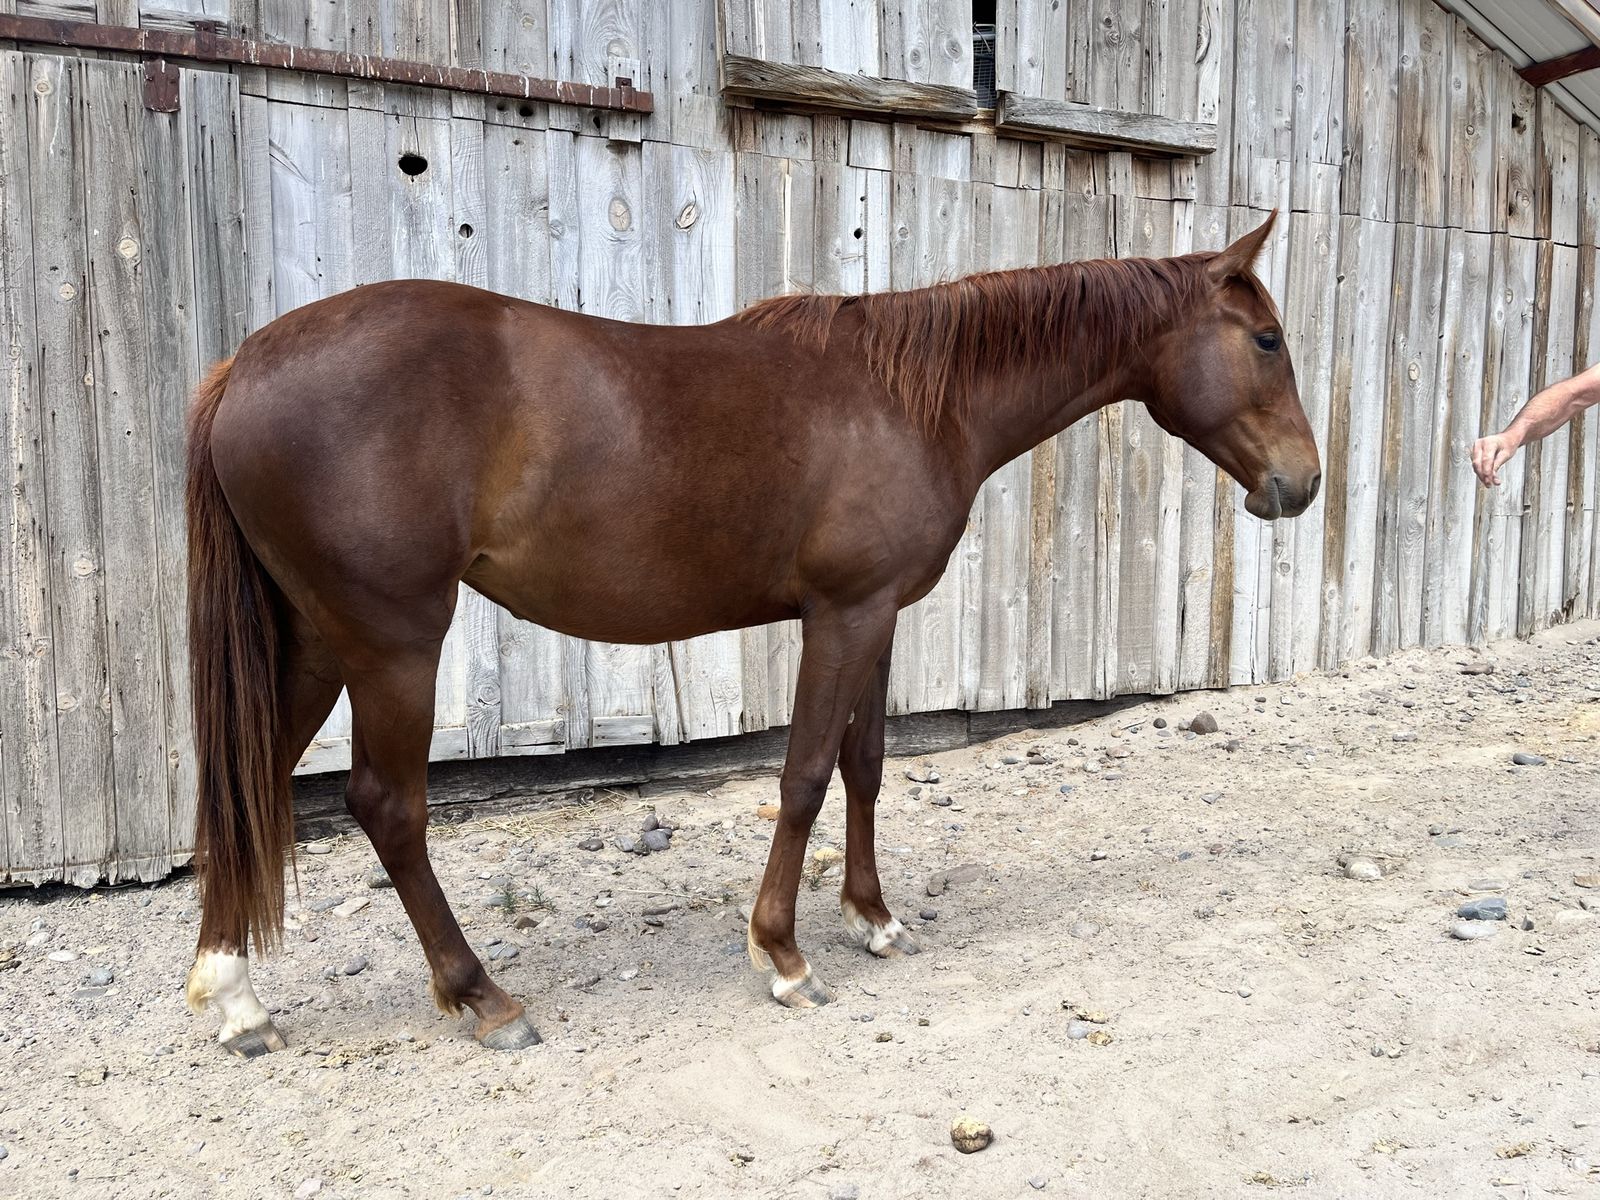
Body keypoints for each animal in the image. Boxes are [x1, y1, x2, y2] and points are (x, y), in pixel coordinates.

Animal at [182, 209, 1319, 1057]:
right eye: (1266, 340)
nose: (1303, 484)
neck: (912, 397)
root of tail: (245, 365)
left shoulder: (878, 615)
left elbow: (864, 767)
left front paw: (872, 917)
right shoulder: (843, 614)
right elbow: (806, 773)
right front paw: (781, 953)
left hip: (313, 642)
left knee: (250, 786)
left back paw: (233, 995)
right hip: (392, 648)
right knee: (387, 809)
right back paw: (482, 996)